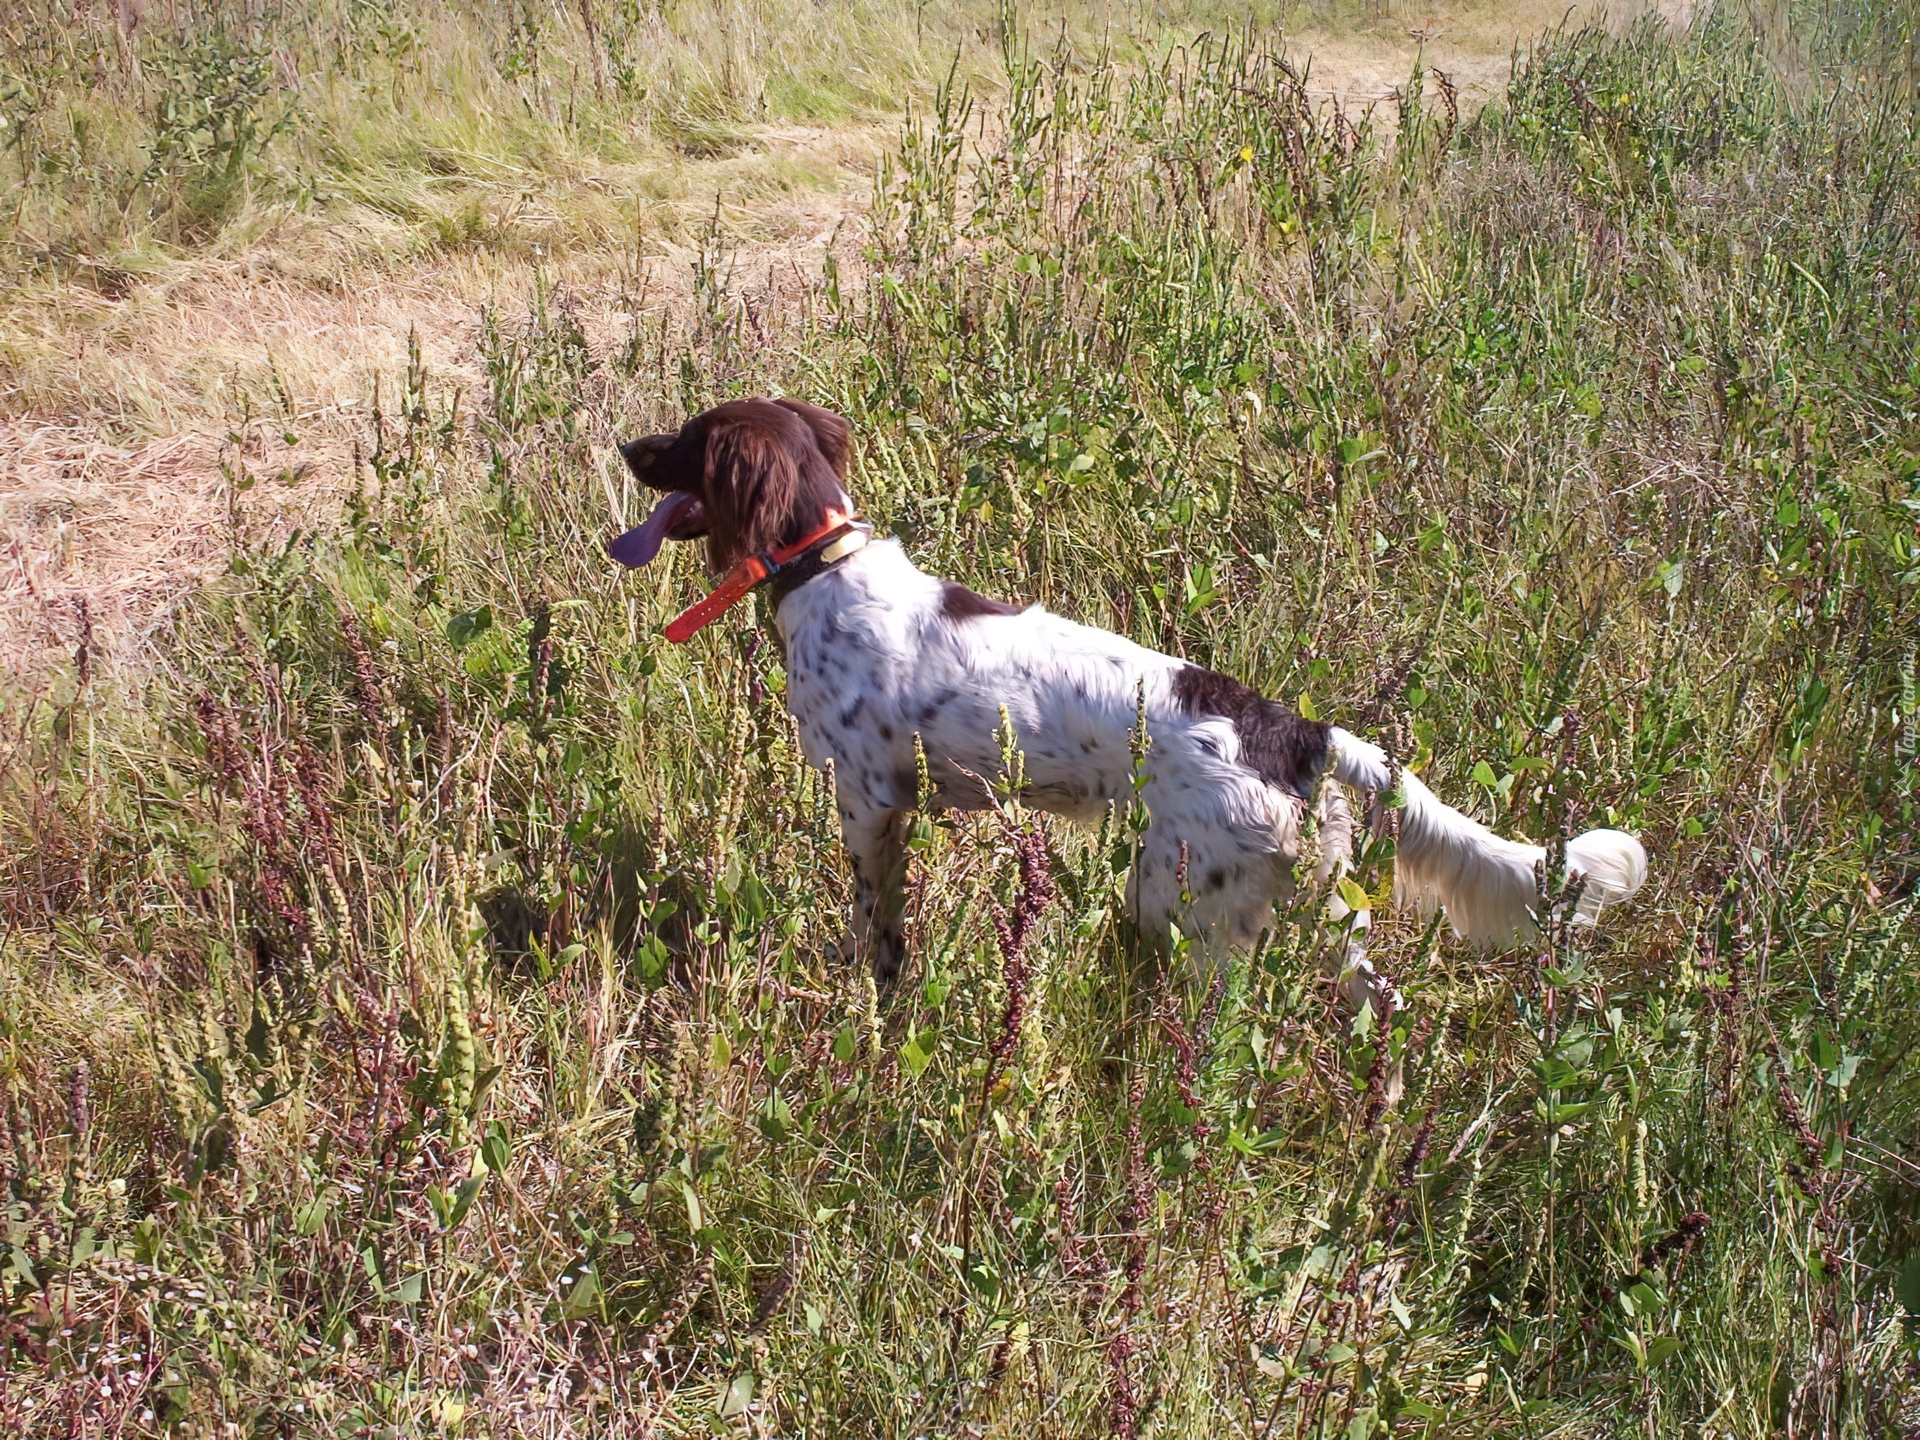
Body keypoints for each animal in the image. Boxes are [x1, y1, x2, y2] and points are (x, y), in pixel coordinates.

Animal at [614, 403, 1651, 990]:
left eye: (690, 441)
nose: (625, 444)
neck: (824, 566)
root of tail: (1302, 734)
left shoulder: (869, 808)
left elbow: (876, 926)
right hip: (1320, 907)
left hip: (1185, 903)